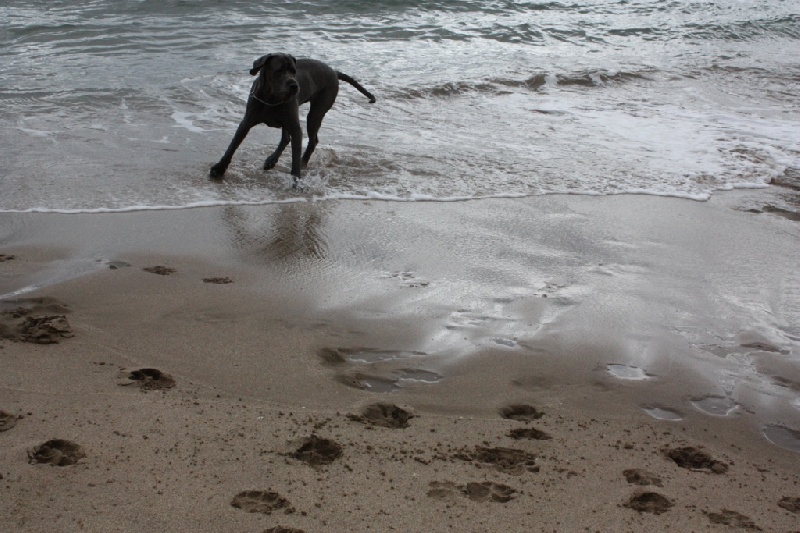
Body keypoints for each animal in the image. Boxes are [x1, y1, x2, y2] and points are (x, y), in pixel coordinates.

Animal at [211, 54, 376, 183]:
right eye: (278, 71)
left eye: (293, 71)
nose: (294, 85)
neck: (272, 99)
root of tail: (334, 72)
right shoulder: (246, 122)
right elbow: (232, 146)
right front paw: (219, 168)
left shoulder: (296, 128)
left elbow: (295, 157)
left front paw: (296, 180)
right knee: (286, 138)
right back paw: (272, 160)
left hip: (315, 112)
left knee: (312, 140)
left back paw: (303, 161)